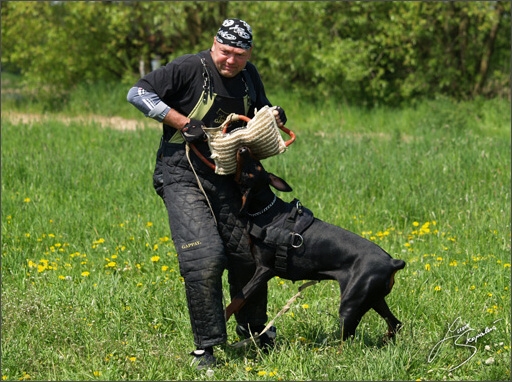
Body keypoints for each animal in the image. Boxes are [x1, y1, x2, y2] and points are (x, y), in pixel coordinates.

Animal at [226, 146, 406, 340]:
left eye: (254, 168)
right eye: (256, 162)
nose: (243, 148)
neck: (265, 210)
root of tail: (392, 262)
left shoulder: (264, 270)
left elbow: (237, 300)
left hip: (351, 303)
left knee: (348, 338)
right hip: (374, 298)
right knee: (395, 324)